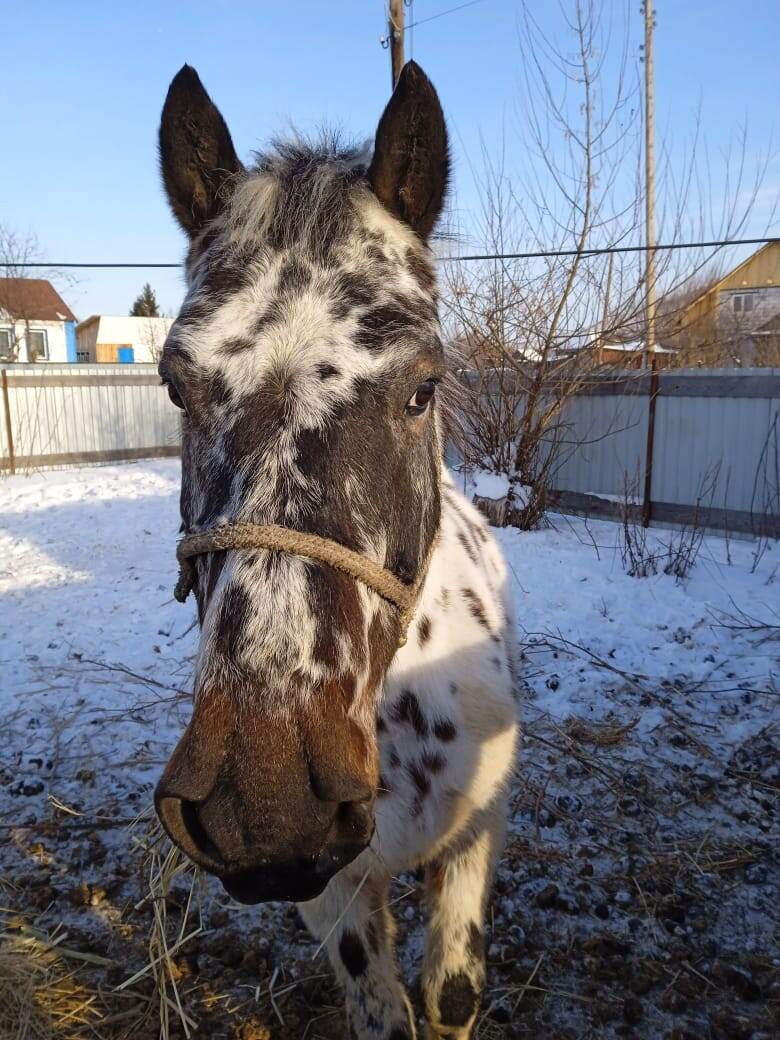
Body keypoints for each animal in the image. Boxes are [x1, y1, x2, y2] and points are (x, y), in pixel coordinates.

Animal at [152, 59, 520, 1040]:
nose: (268, 806)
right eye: (174, 385)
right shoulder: (333, 891)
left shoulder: (475, 837)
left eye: (424, 388)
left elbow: (451, 994)